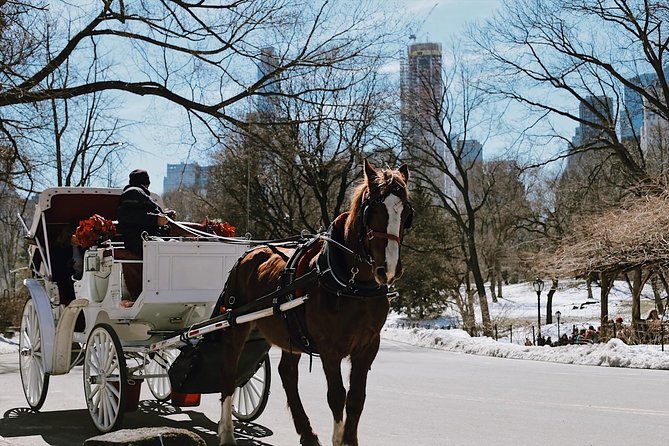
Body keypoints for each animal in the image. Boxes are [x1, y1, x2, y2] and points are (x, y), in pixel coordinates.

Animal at [217, 159, 410, 444]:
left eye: (406, 214)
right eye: (372, 210)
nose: (389, 269)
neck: (352, 283)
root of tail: (250, 251)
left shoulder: (368, 347)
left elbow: (356, 399)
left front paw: (348, 439)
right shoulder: (330, 349)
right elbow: (337, 396)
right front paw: (338, 438)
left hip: (289, 332)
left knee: (287, 374)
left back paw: (306, 432)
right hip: (236, 326)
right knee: (229, 373)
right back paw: (227, 432)